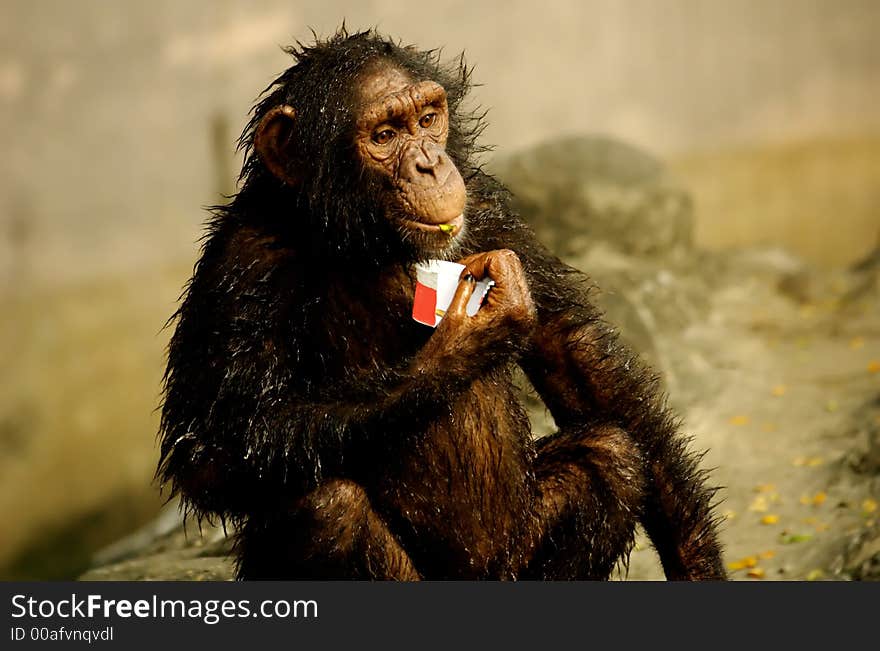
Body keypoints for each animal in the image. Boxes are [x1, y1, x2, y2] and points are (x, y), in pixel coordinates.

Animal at [158, 29, 728, 580]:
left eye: (428, 119)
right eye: (384, 135)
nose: (430, 164)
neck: (361, 239)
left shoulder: (486, 204)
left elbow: (574, 352)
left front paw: (697, 566)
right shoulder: (240, 268)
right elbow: (214, 447)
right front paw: (464, 343)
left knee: (610, 455)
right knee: (323, 508)